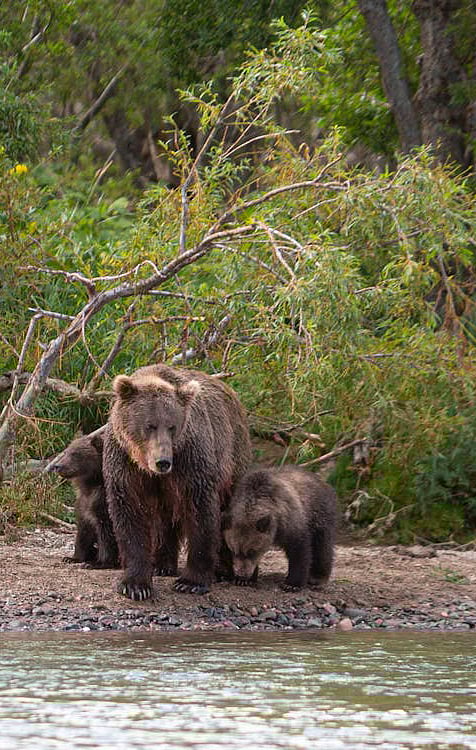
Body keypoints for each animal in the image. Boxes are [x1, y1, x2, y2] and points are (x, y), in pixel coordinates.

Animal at [48, 432, 119, 569]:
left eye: (76, 454)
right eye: (66, 452)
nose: (57, 466)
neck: (90, 485)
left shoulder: (102, 503)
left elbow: (106, 533)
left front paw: (98, 563)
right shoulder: (83, 503)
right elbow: (83, 532)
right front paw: (72, 558)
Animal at [103, 363, 252, 601]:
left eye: (172, 426)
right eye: (150, 425)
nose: (163, 462)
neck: (144, 464)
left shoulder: (190, 458)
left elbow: (200, 511)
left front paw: (191, 582)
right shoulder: (124, 463)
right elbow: (130, 513)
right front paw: (136, 585)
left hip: (233, 454)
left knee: (234, 508)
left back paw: (228, 572)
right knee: (165, 520)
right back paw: (162, 565)